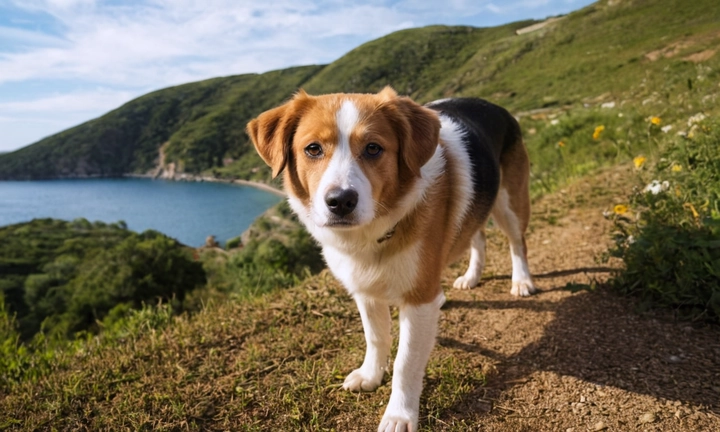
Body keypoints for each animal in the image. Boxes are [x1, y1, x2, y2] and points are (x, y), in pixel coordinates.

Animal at [248, 88, 536, 432]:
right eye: (313, 149)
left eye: (373, 148)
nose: (340, 201)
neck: (373, 231)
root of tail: (492, 105)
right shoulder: (365, 290)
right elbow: (376, 337)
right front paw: (371, 375)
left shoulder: (419, 301)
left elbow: (406, 362)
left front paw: (400, 414)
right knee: (476, 235)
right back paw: (471, 276)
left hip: (509, 203)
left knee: (517, 242)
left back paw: (522, 281)